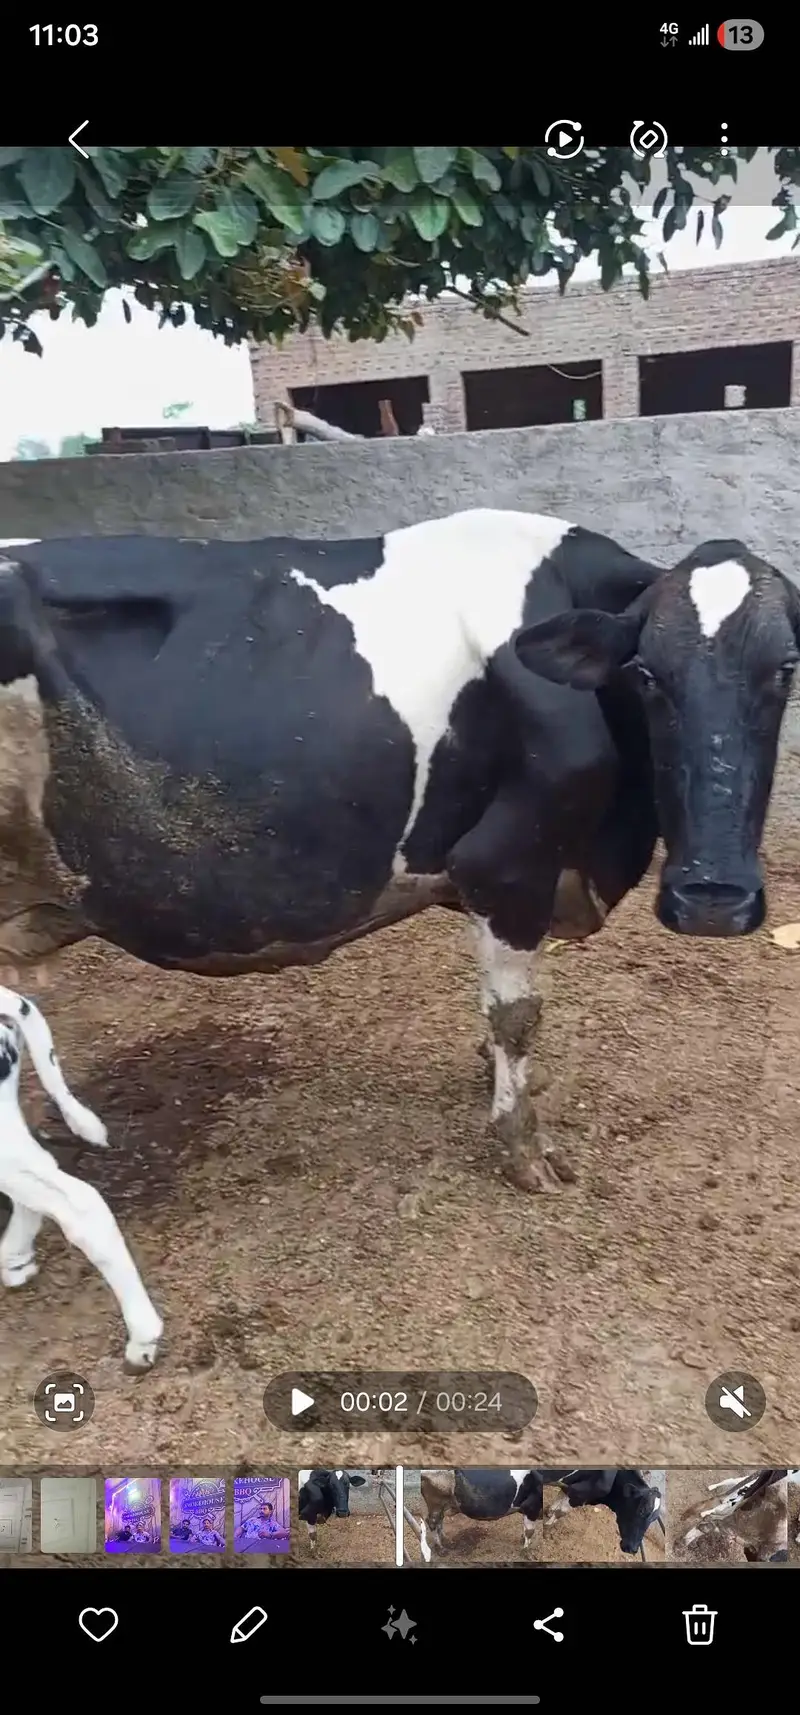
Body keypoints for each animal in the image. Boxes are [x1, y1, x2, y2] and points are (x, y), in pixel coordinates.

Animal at [0, 513, 796, 1207]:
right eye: (648, 672)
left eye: (787, 667)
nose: (713, 899)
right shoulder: (506, 863)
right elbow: (517, 1014)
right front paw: (522, 1145)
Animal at [410, 1468, 543, 1561]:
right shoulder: (532, 1507)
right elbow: (530, 1531)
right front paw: (526, 1552)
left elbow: (525, 1528)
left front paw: (522, 1540)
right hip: (436, 1503)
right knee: (433, 1522)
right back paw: (441, 1549)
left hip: (442, 1504)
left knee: (439, 1521)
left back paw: (446, 1539)